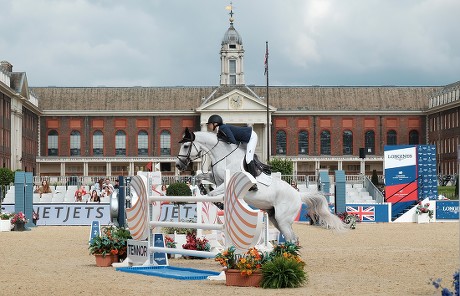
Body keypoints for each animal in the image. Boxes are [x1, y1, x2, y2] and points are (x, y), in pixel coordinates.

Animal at [175, 128, 344, 242]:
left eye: (186, 146)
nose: (178, 165)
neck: (224, 156)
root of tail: (298, 194)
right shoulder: (215, 178)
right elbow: (199, 178)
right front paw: (201, 188)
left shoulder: (226, 183)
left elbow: (213, 194)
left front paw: (219, 203)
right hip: (275, 217)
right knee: (292, 238)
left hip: (283, 219)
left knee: (292, 238)